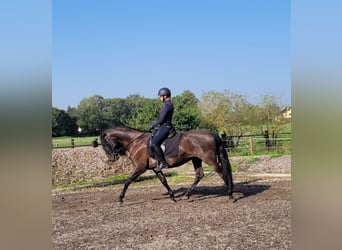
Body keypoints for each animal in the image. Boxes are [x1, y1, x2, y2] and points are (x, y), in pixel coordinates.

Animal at [100, 126, 234, 204]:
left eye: (105, 144)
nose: (112, 158)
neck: (136, 142)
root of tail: (211, 134)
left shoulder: (140, 168)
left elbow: (127, 181)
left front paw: (120, 199)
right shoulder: (156, 168)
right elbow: (164, 181)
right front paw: (172, 197)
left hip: (209, 159)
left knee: (222, 173)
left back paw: (230, 194)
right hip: (196, 159)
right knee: (199, 175)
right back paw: (187, 195)